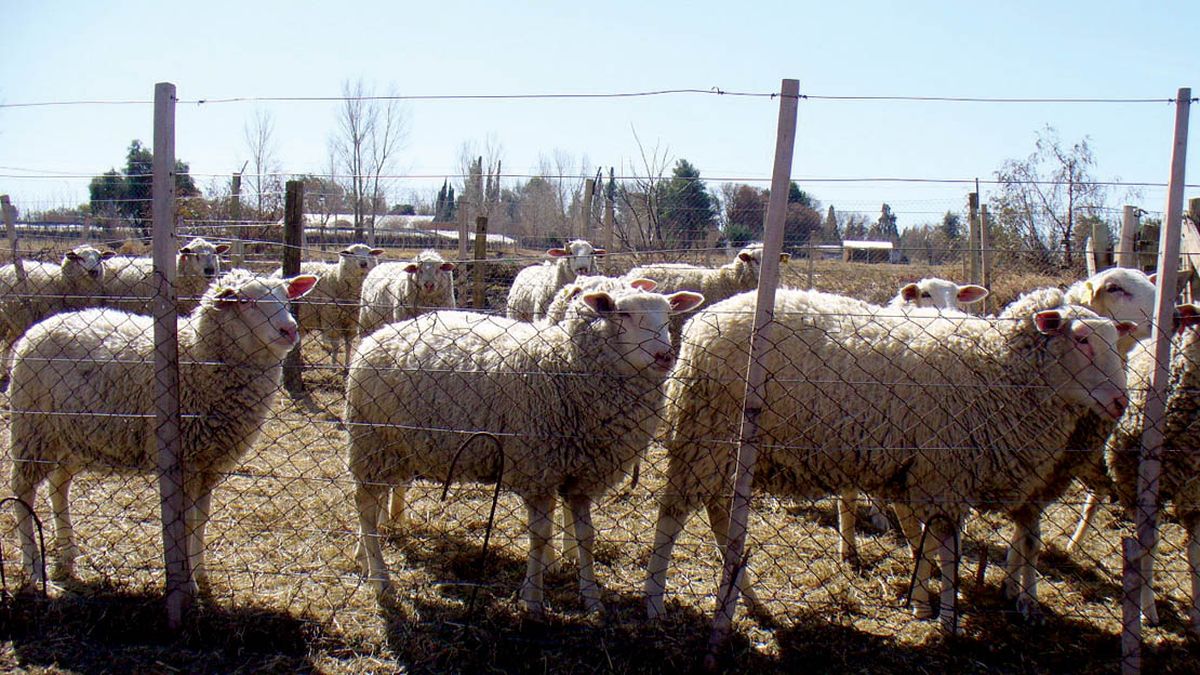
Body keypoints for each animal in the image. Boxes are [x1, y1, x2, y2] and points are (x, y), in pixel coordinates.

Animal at [0, 242, 114, 379]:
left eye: (100, 258)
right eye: (80, 258)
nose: (93, 271)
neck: (61, 283)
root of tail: (5, 267)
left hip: (16, 320)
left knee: (6, 344)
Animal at [9, 267, 316, 588]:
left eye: (286, 297)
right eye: (245, 301)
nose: (289, 330)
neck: (197, 358)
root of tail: (40, 327)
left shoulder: (210, 463)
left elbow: (201, 519)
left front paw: (201, 573)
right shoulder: (185, 460)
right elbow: (187, 521)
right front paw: (188, 583)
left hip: (73, 438)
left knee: (58, 485)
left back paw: (68, 554)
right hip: (33, 429)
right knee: (22, 491)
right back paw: (33, 567)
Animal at [348, 281, 700, 612]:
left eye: (668, 315)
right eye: (623, 313)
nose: (665, 356)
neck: (566, 365)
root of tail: (375, 338)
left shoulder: (581, 475)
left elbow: (586, 537)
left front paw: (591, 599)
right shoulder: (538, 470)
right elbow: (540, 536)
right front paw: (533, 599)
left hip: (393, 447)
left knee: (374, 502)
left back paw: (364, 557)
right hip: (371, 442)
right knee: (364, 504)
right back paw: (381, 580)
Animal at [643, 284, 1128, 629]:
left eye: (1114, 340)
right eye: (1082, 339)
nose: (1121, 401)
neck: (996, 368)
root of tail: (701, 324)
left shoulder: (928, 474)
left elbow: (929, 540)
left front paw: (923, 596)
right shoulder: (943, 472)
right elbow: (946, 547)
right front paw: (945, 617)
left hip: (724, 450)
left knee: (719, 515)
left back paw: (746, 595)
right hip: (706, 436)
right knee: (673, 515)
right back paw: (654, 599)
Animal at [1099, 302, 1200, 629]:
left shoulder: (1194, 496)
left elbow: (1195, 552)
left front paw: (1197, 614)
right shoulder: (1139, 486)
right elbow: (1147, 546)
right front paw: (1147, 609)